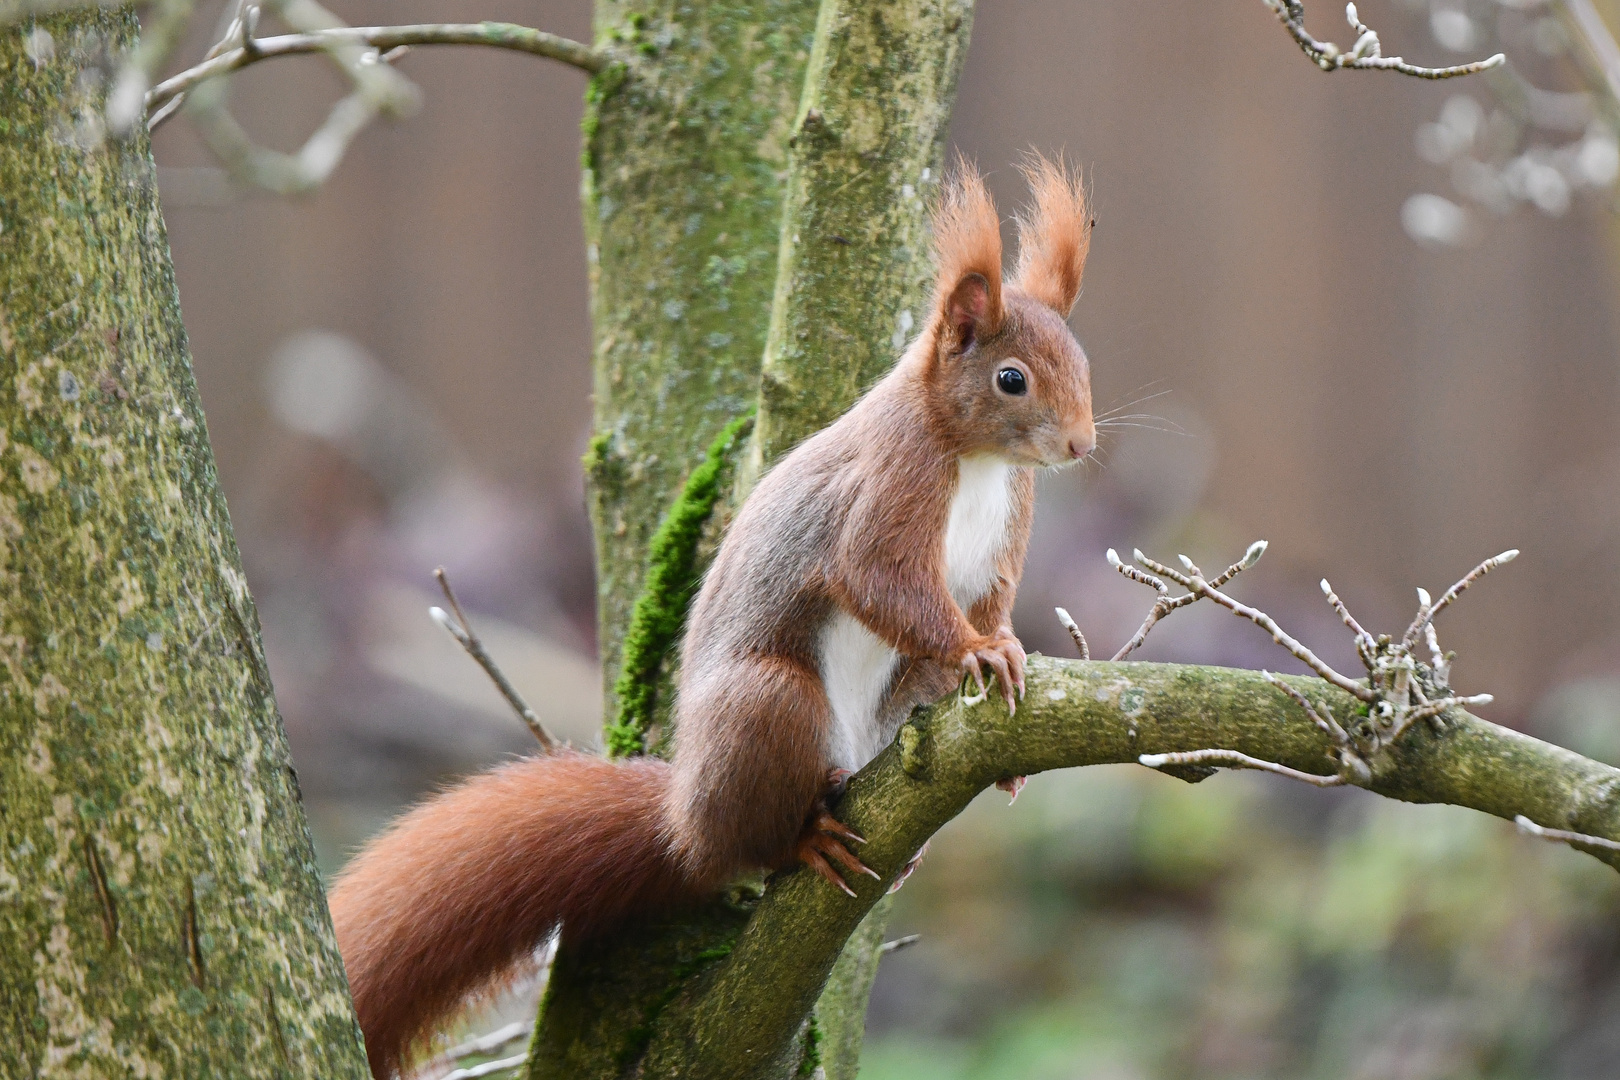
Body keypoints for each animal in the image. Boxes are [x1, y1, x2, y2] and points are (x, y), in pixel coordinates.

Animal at [325, 156, 1088, 1075]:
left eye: (1083, 360)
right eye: (1012, 378)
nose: (1082, 444)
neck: (975, 459)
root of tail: (683, 813)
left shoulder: (1004, 534)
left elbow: (990, 602)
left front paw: (1006, 656)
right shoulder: (888, 488)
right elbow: (881, 582)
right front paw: (978, 650)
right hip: (767, 705)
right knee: (748, 841)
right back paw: (804, 836)